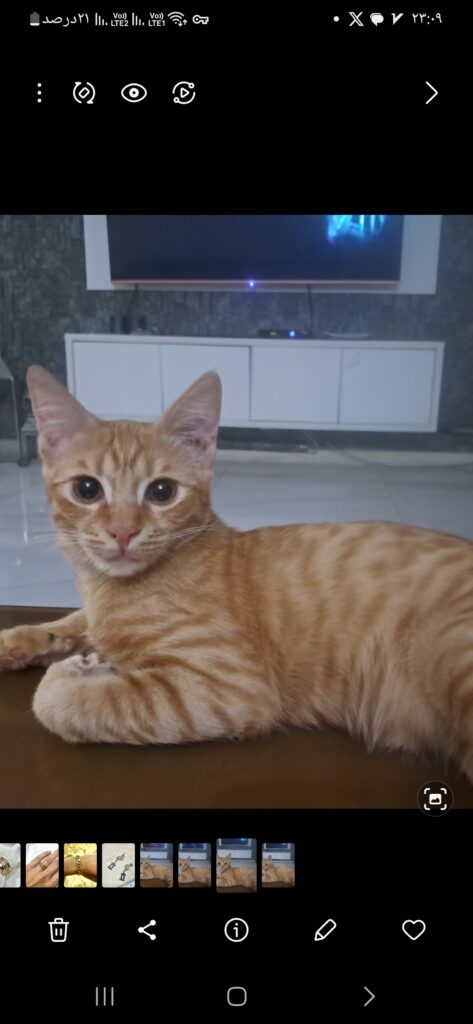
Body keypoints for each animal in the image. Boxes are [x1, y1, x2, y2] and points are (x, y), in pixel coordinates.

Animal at [1, 364, 473, 784]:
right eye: (87, 489)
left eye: (161, 492)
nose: (122, 532)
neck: (109, 587)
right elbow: (77, 619)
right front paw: (30, 638)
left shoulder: (229, 688)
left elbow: (57, 700)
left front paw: (77, 672)